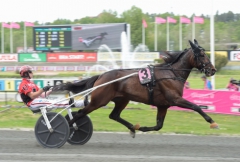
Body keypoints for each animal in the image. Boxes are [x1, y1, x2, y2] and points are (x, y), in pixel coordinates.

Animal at [53, 39, 218, 137]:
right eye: (202, 55)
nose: (213, 70)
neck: (171, 73)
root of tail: (101, 76)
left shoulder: (163, 105)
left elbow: (158, 125)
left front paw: (142, 128)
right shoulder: (176, 99)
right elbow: (196, 107)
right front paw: (212, 121)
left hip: (122, 100)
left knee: (114, 115)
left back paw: (132, 128)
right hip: (99, 101)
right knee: (80, 113)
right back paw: (62, 129)